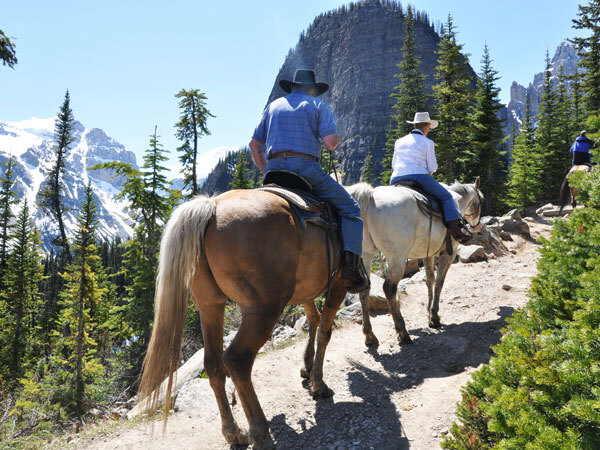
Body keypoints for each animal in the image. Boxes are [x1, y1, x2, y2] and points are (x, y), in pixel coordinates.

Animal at [137, 189, 347, 449]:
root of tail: (212, 207)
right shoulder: (339, 283)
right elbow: (325, 331)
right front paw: (319, 385)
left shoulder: (305, 290)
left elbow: (313, 319)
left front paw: (307, 369)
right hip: (263, 310)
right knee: (237, 360)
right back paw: (260, 432)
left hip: (210, 306)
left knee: (214, 364)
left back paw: (235, 433)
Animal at [346, 177, 483, 347]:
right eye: (481, 200)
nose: (477, 226)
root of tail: (370, 196)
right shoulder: (448, 253)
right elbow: (439, 281)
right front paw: (434, 317)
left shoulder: (428, 254)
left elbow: (430, 280)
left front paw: (429, 313)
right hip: (397, 258)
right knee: (389, 288)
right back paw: (403, 333)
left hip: (365, 255)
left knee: (365, 290)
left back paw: (370, 336)